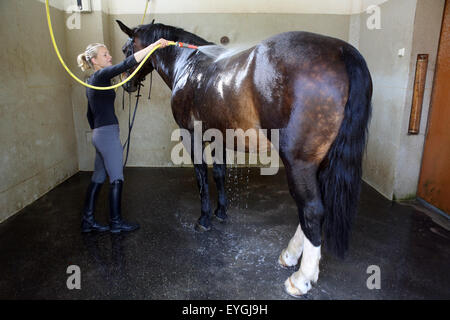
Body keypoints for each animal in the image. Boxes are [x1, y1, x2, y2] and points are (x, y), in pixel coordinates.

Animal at [116, 18, 372, 296]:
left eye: (126, 49)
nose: (126, 84)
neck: (189, 65)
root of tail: (342, 51)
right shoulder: (217, 137)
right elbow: (219, 173)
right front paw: (221, 212)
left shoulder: (191, 135)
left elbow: (201, 177)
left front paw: (204, 219)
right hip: (321, 163)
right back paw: (290, 255)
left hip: (299, 164)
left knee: (312, 209)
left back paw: (301, 277)